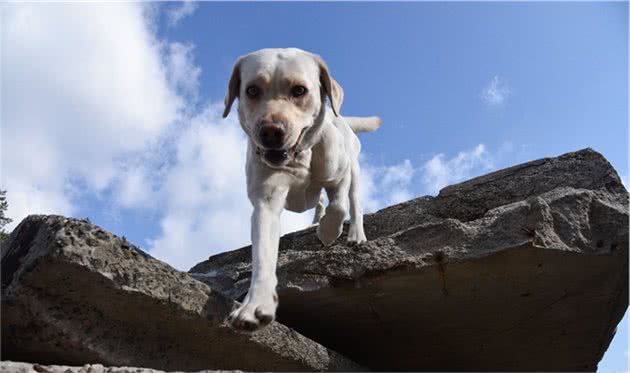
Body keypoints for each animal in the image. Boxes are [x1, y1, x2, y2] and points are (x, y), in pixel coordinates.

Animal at [223, 48, 380, 330]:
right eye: (252, 90)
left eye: (299, 90)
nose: (270, 132)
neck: (299, 157)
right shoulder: (265, 203)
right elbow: (262, 254)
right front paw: (255, 305)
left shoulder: (339, 175)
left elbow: (339, 206)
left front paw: (328, 231)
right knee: (318, 201)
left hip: (354, 171)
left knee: (353, 204)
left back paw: (355, 234)